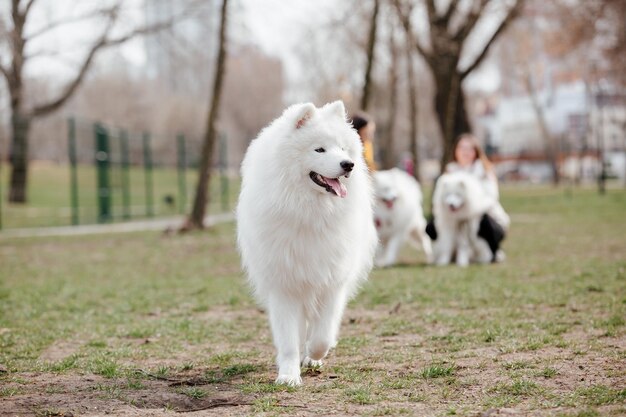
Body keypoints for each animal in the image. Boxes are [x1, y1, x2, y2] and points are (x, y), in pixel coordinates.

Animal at [236, 101, 378, 386]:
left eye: (342, 149)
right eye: (319, 149)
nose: (348, 164)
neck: (311, 211)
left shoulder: (333, 280)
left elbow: (323, 334)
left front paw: (314, 355)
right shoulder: (285, 284)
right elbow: (289, 339)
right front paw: (289, 375)